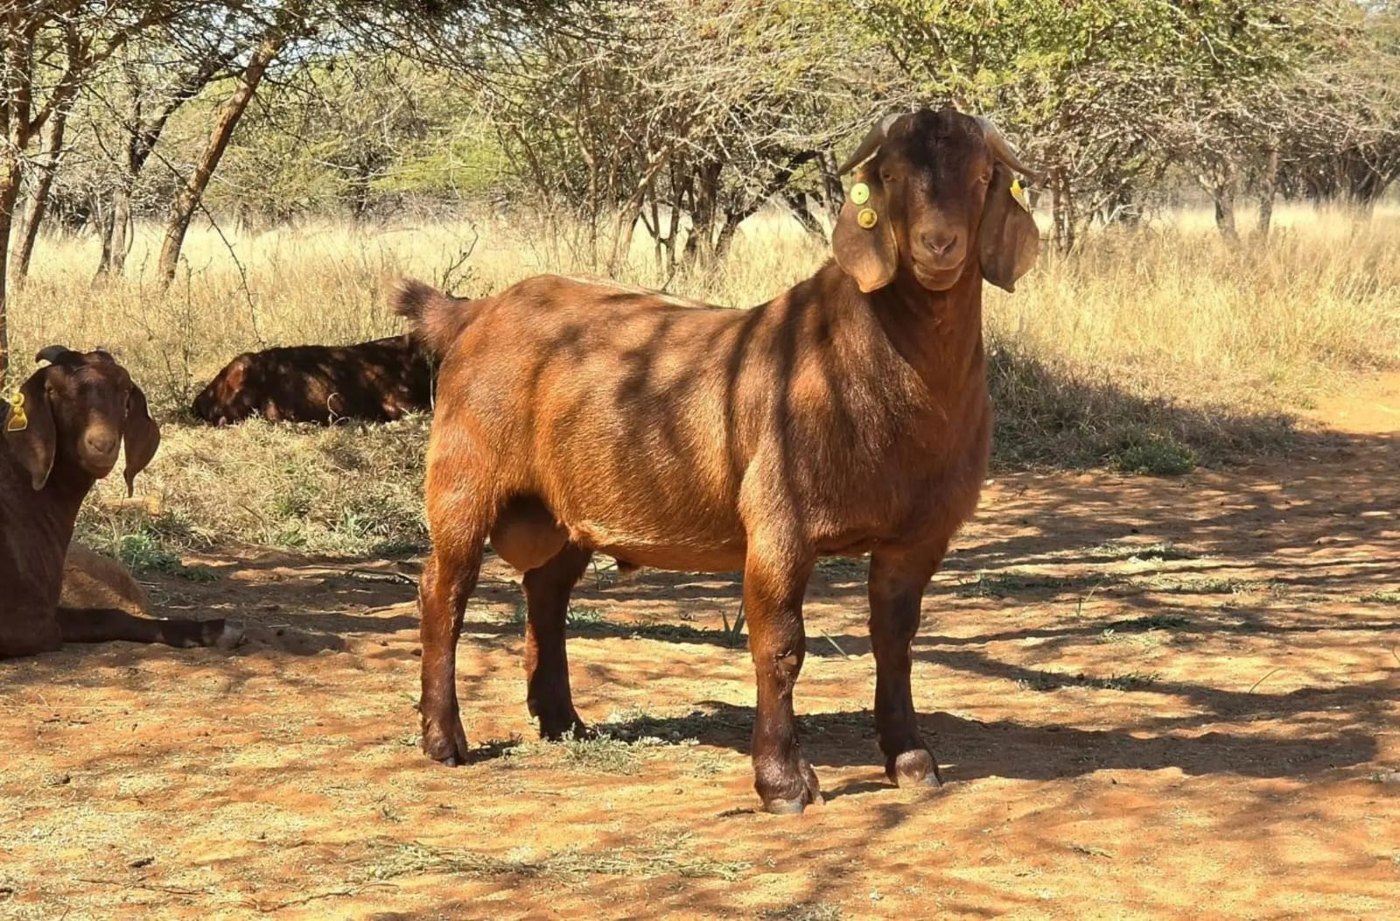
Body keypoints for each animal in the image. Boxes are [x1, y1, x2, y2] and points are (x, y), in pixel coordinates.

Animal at [1, 347, 241, 657]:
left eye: (125, 390)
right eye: (54, 390)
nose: (102, 445)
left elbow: (106, 617)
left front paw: (212, 630)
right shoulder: (28, 621)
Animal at [394, 108, 1040, 814]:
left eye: (982, 178)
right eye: (891, 176)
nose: (938, 244)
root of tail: (475, 312)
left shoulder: (918, 535)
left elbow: (895, 642)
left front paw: (912, 760)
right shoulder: (781, 523)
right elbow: (781, 646)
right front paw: (783, 781)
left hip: (567, 508)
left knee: (547, 591)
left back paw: (563, 719)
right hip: (464, 480)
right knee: (444, 590)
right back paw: (444, 738)